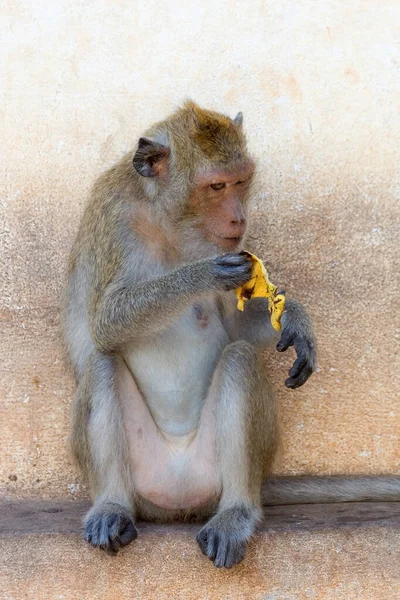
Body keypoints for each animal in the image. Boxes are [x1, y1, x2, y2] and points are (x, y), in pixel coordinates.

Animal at [62, 102, 400, 568]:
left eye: (241, 181)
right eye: (216, 186)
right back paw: (112, 506)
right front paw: (203, 274)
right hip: (144, 478)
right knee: (102, 362)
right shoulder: (113, 218)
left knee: (240, 357)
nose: (239, 216)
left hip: (213, 473)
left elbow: (238, 328)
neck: (166, 222)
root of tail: (178, 502)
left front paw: (295, 316)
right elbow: (105, 322)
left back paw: (237, 513)